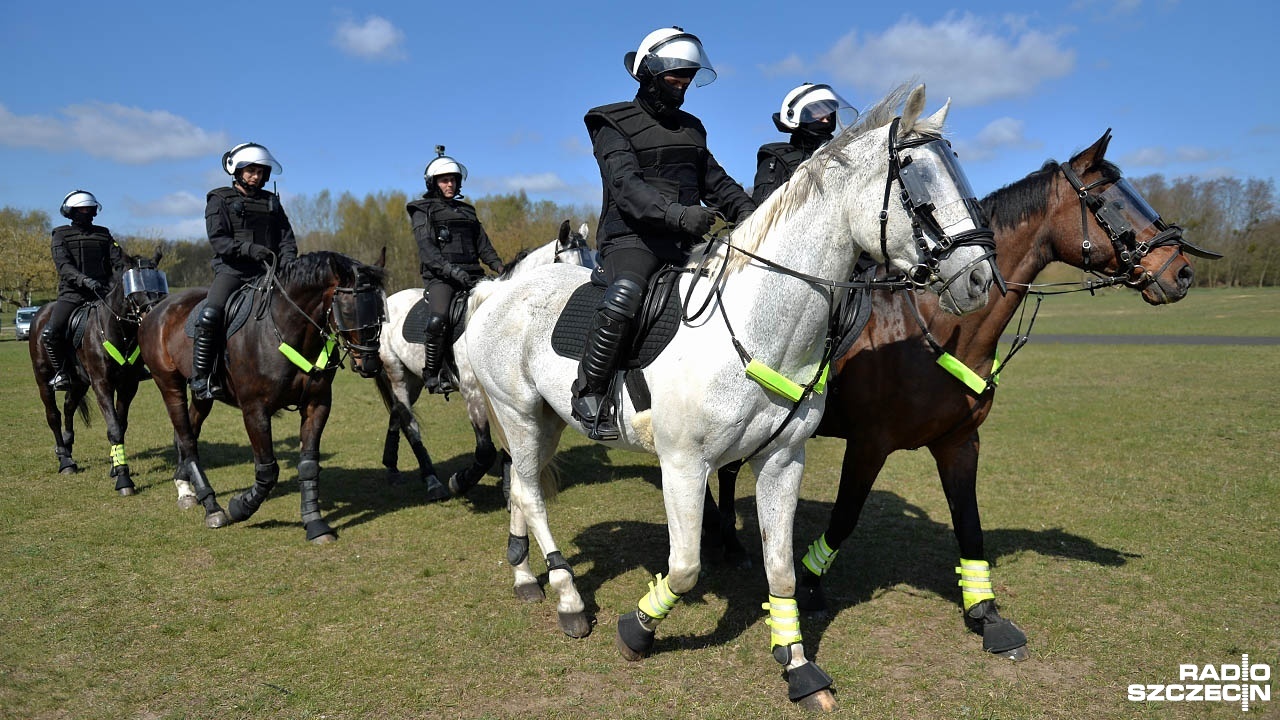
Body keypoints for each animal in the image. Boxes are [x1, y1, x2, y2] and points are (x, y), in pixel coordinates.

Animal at [29, 251, 167, 491]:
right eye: (134, 285)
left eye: (158, 280)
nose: (156, 313)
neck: (118, 330)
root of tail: (40, 314)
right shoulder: (102, 384)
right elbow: (114, 427)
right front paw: (123, 478)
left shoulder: (128, 385)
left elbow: (121, 424)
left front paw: (116, 465)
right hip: (43, 380)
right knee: (53, 415)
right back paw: (65, 460)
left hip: (78, 383)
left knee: (68, 408)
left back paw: (67, 446)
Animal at [140, 249, 386, 540]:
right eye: (348, 309)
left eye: (380, 309)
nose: (370, 364)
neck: (285, 330)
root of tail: (157, 310)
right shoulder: (255, 411)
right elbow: (268, 471)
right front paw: (239, 507)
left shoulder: (317, 404)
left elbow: (308, 465)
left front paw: (315, 523)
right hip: (169, 385)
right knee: (187, 438)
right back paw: (212, 507)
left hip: (202, 396)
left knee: (188, 432)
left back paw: (186, 489)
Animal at [455, 82, 993, 707]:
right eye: (913, 176)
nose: (980, 278)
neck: (759, 323)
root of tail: (497, 292)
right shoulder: (684, 466)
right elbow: (686, 567)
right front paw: (638, 629)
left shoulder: (782, 459)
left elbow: (781, 568)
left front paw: (797, 665)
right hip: (517, 413)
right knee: (529, 492)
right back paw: (568, 599)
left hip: (546, 420)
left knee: (522, 486)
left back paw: (525, 575)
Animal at [711, 131, 1218, 661]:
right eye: (1106, 201)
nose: (1181, 270)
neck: (930, 326)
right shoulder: (869, 445)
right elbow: (845, 517)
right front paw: (809, 583)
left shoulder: (959, 443)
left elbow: (969, 525)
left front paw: (986, 613)